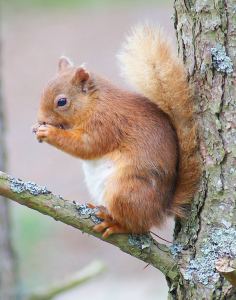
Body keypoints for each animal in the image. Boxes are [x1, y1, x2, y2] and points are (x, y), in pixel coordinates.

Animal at [32, 24, 199, 238]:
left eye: (62, 102)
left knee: (137, 226)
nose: (41, 119)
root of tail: (161, 210)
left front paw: (48, 133)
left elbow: (86, 146)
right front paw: (36, 128)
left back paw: (114, 223)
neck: (94, 103)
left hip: (126, 190)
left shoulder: (106, 123)